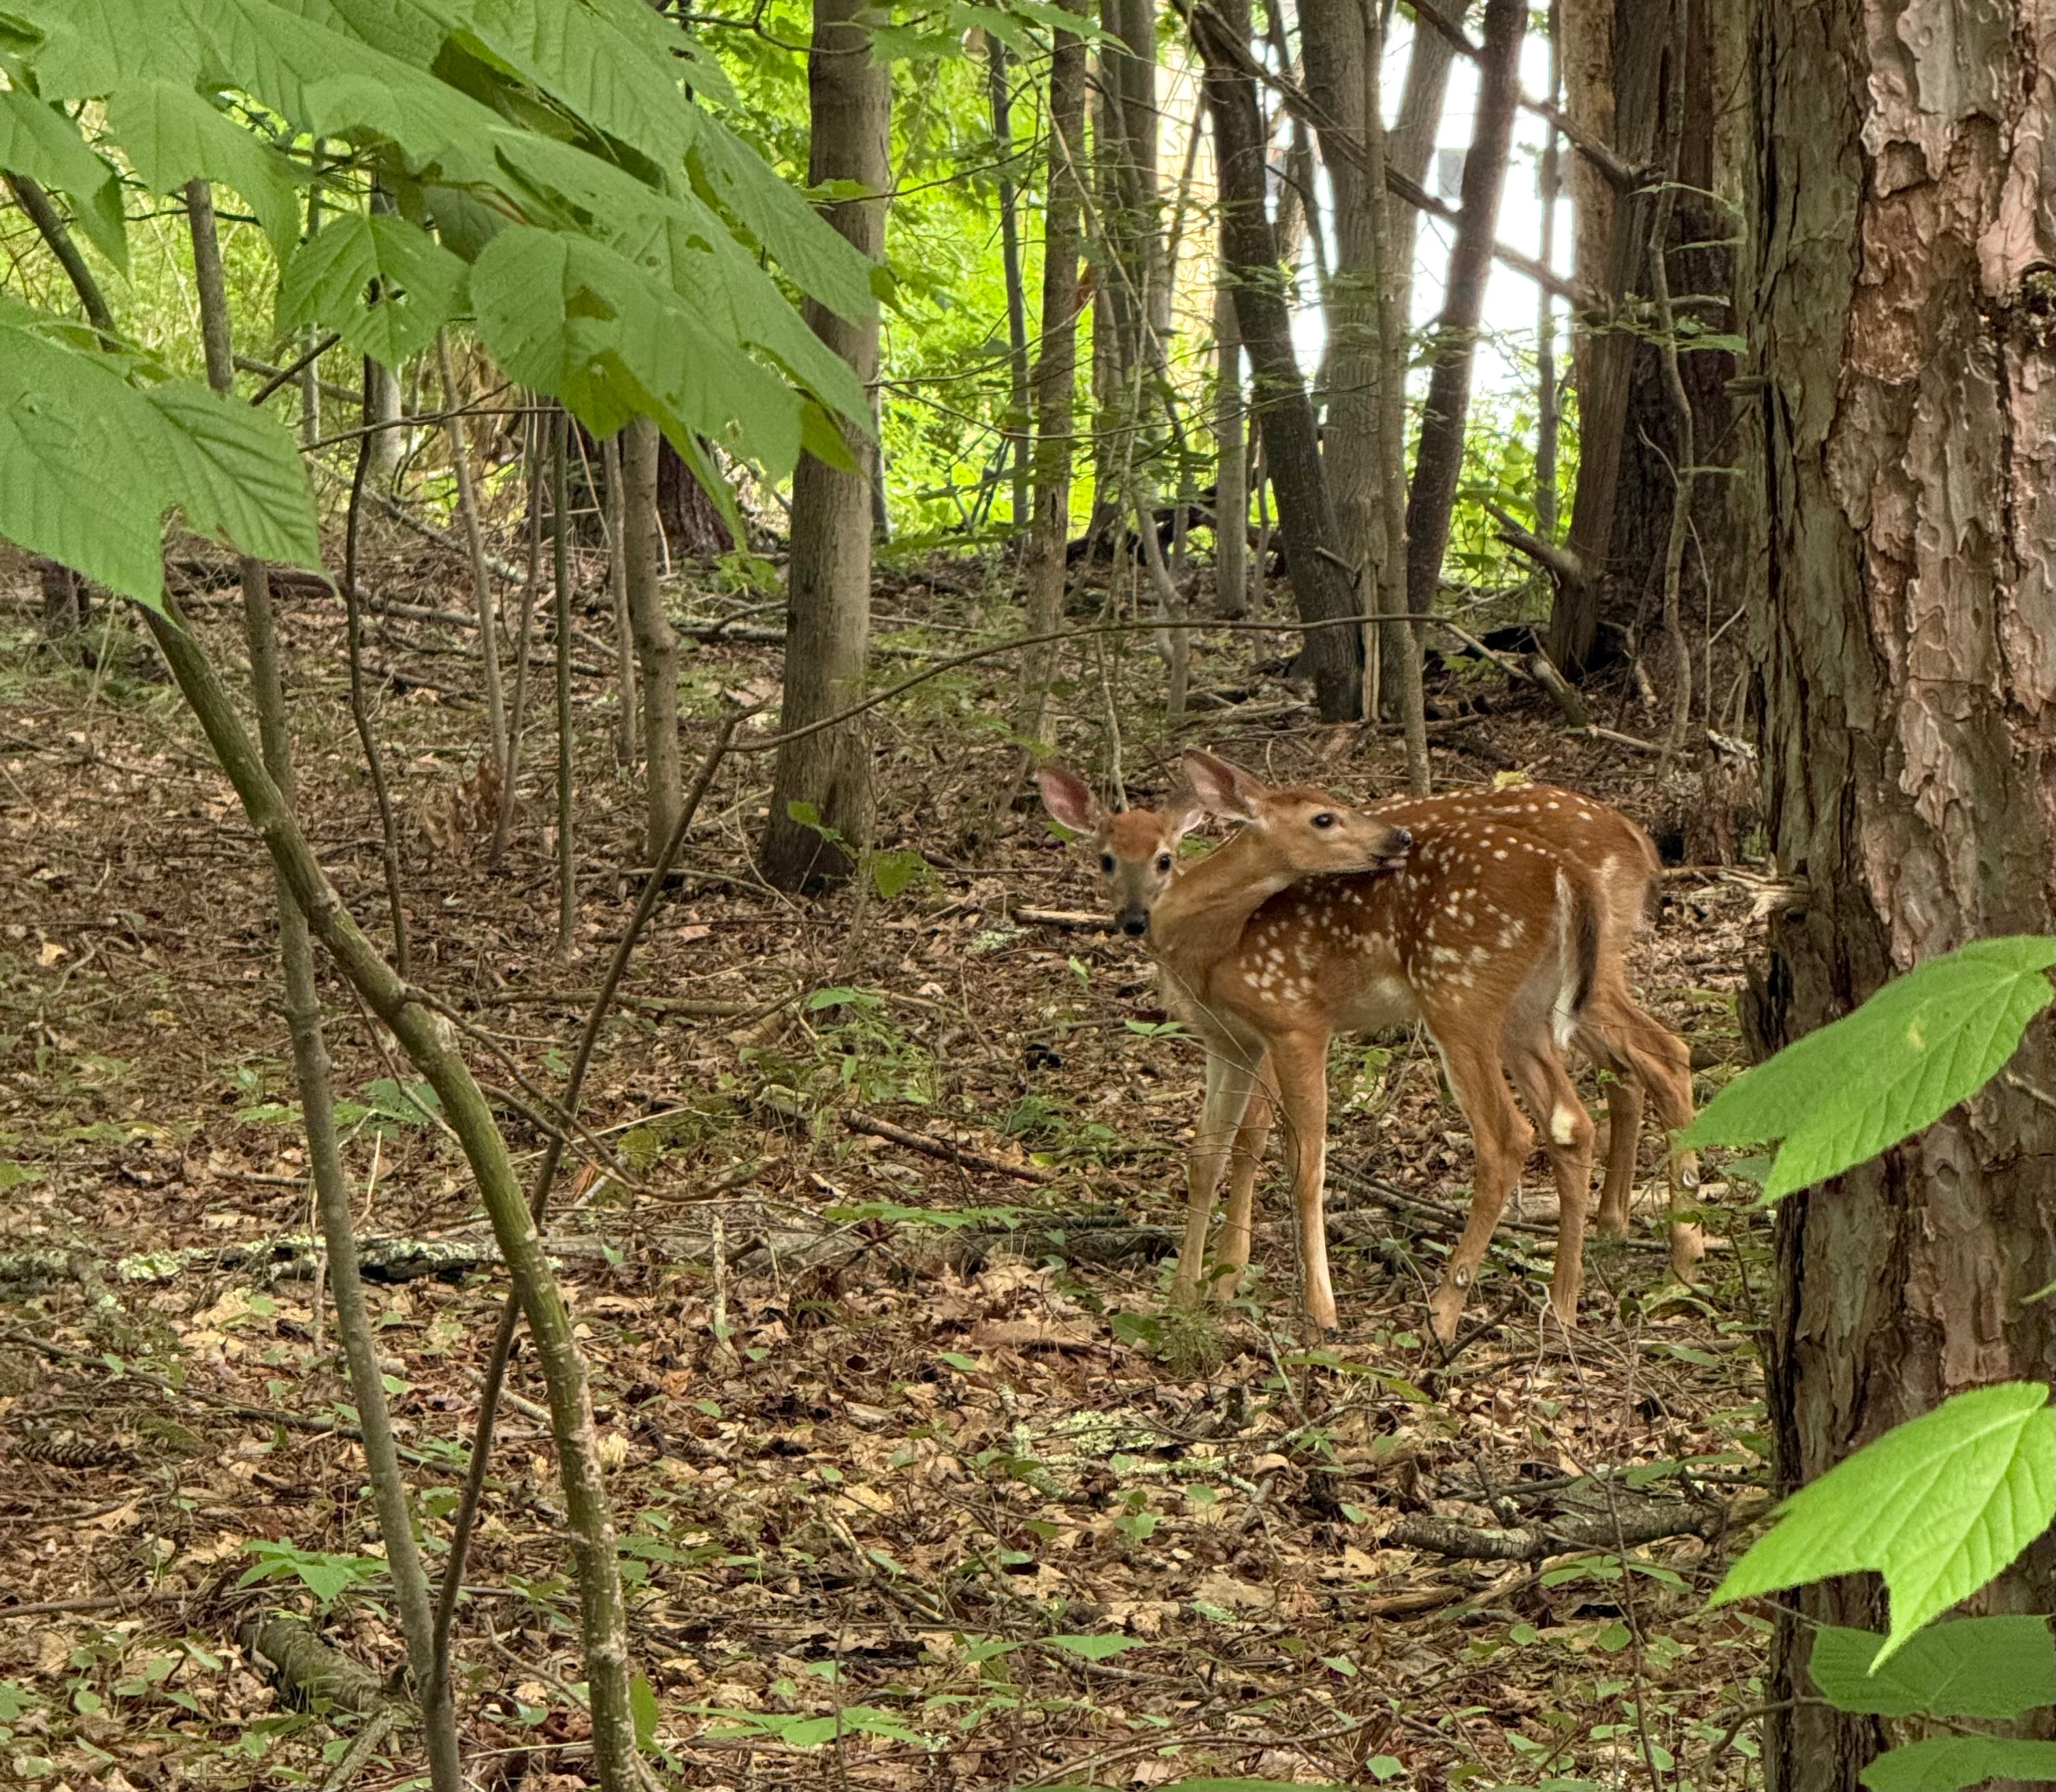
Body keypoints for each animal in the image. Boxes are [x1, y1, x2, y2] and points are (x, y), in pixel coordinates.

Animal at [1041, 752, 1613, 1338]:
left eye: (1164, 858)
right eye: (1106, 860)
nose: (1398, 836)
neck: (1214, 944)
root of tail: (1567, 872)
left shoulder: (1295, 1021)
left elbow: (1304, 1162)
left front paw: (1318, 1310)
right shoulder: (1229, 1039)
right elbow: (1206, 1155)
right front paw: (1183, 1295)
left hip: (1459, 992)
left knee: (1506, 1136)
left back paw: (1442, 1312)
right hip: (1526, 1008)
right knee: (1571, 1122)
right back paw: (1562, 1306)